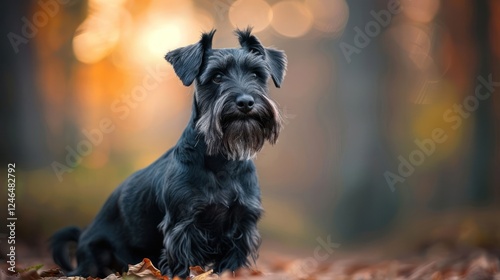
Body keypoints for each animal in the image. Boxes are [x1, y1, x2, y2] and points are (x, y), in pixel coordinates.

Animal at [50, 28, 288, 278]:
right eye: (217, 76)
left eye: (256, 74)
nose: (245, 102)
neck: (221, 161)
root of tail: (83, 236)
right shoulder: (182, 223)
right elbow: (181, 261)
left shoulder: (242, 222)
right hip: (95, 258)